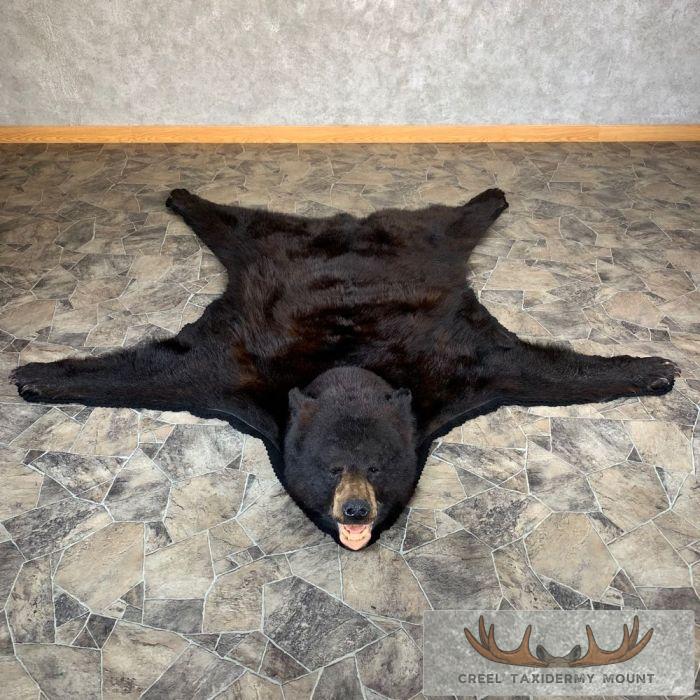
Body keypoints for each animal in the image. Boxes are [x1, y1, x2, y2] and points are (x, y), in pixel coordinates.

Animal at [12, 187, 678, 550]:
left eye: (378, 468)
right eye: (332, 467)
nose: (355, 510)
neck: (351, 368)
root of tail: (348, 225)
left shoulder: (463, 368)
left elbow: (540, 370)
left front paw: (650, 366)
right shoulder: (236, 370)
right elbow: (156, 371)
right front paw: (39, 374)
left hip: (422, 240)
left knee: (450, 221)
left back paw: (489, 197)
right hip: (275, 244)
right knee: (236, 223)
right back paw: (184, 197)